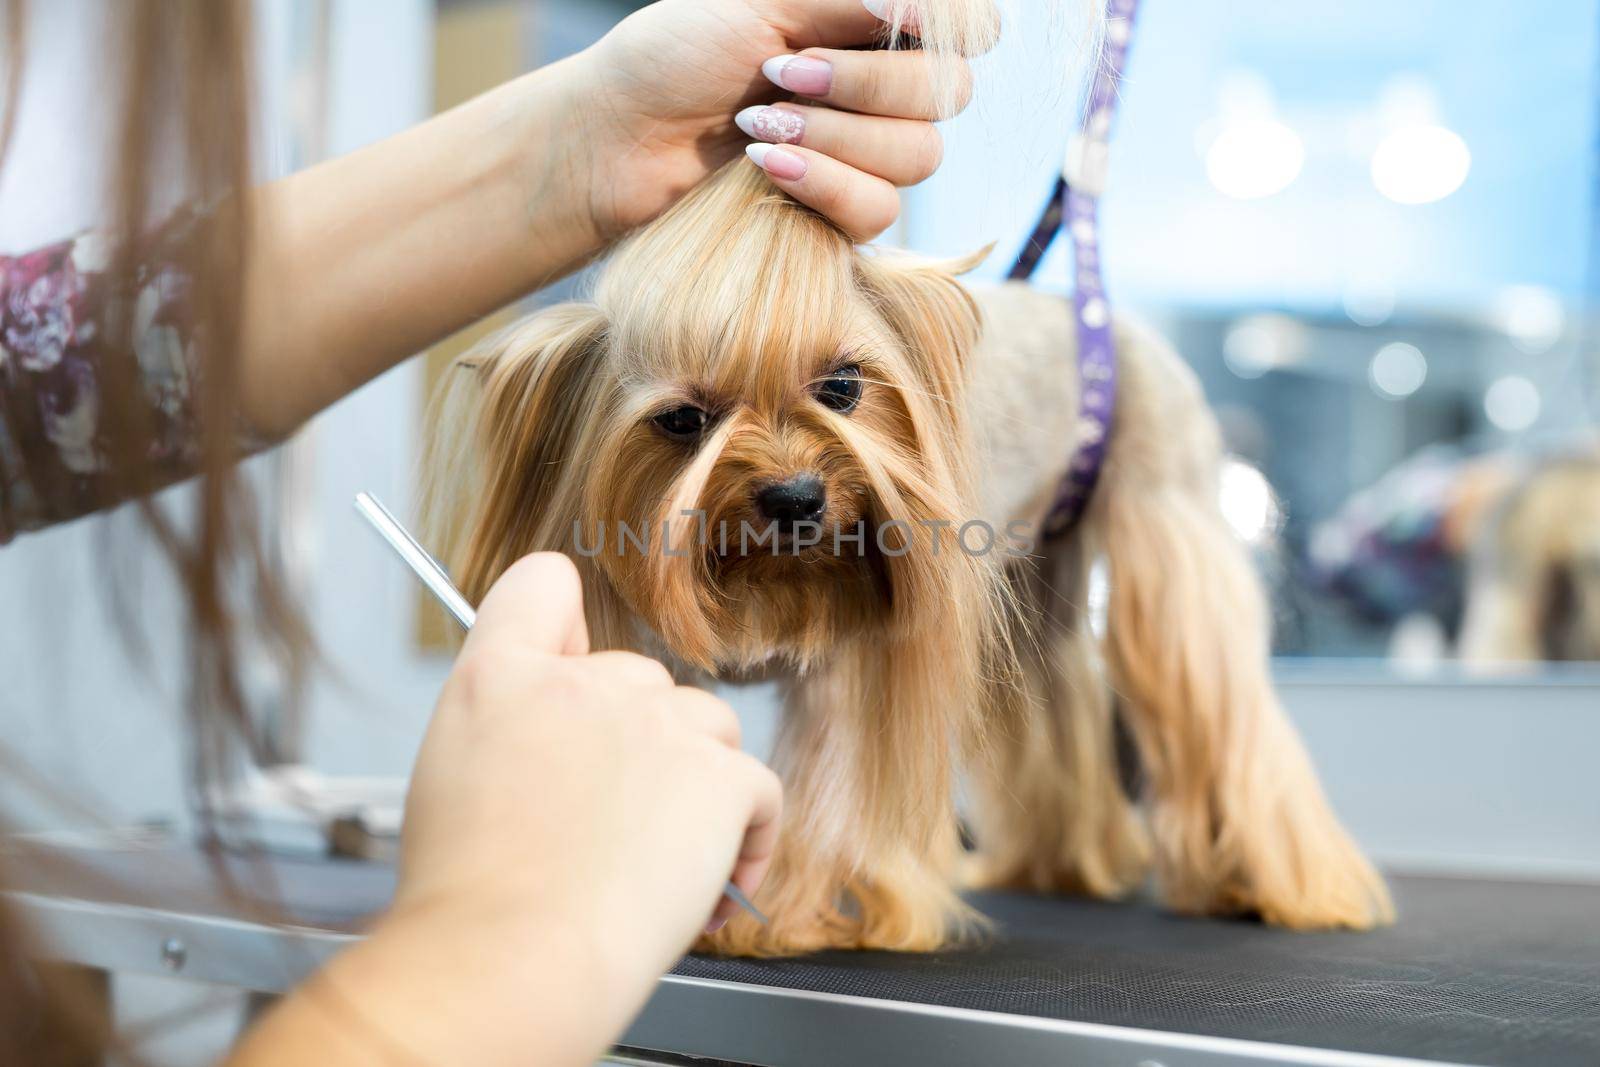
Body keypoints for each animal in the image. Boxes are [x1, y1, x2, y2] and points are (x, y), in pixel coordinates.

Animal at [419, 154, 1395, 953]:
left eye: (843, 385)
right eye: (683, 419)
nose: (796, 497)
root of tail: (1105, 323)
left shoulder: (852, 652)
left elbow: (832, 769)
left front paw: (784, 913)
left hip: (1169, 519)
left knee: (1217, 704)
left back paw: (1280, 887)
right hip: (1035, 579)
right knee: (1055, 687)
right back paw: (1063, 862)